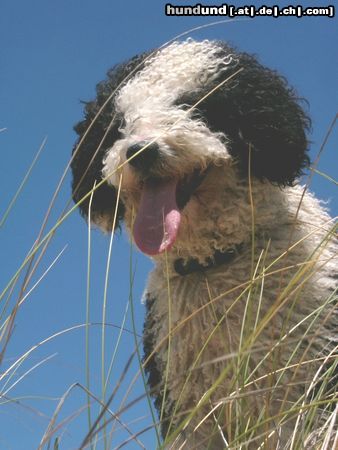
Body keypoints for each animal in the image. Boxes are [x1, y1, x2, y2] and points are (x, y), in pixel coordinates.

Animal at [70, 40, 336, 448]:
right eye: (119, 123)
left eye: (194, 104)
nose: (141, 150)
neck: (218, 264)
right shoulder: (189, 412)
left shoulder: (311, 389)